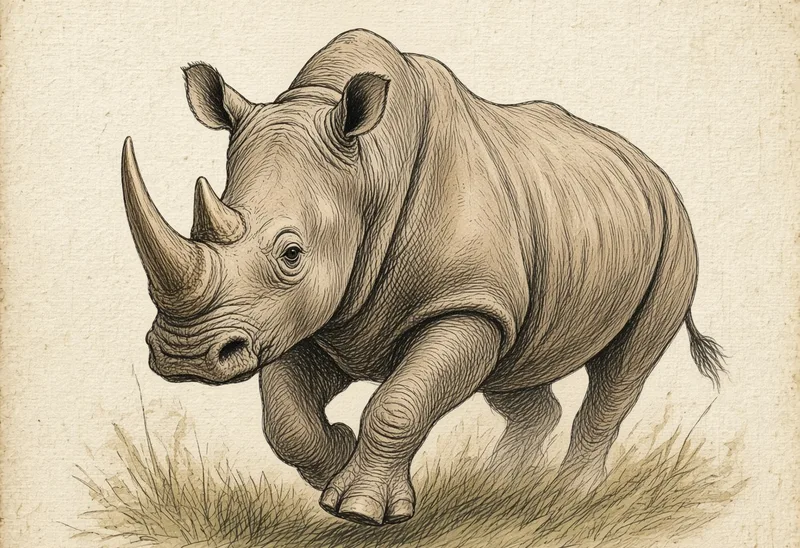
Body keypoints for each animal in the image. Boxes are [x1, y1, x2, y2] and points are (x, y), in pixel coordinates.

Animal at [121, 29, 725, 526]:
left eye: (291, 254)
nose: (184, 356)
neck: (370, 169)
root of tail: (652, 169)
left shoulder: (466, 301)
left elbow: (400, 400)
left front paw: (360, 510)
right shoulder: (309, 317)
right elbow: (285, 418)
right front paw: (336, 461)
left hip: (676, 235)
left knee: (622, 370)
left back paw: (571, 497)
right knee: (516, 371)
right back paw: (501, 486)